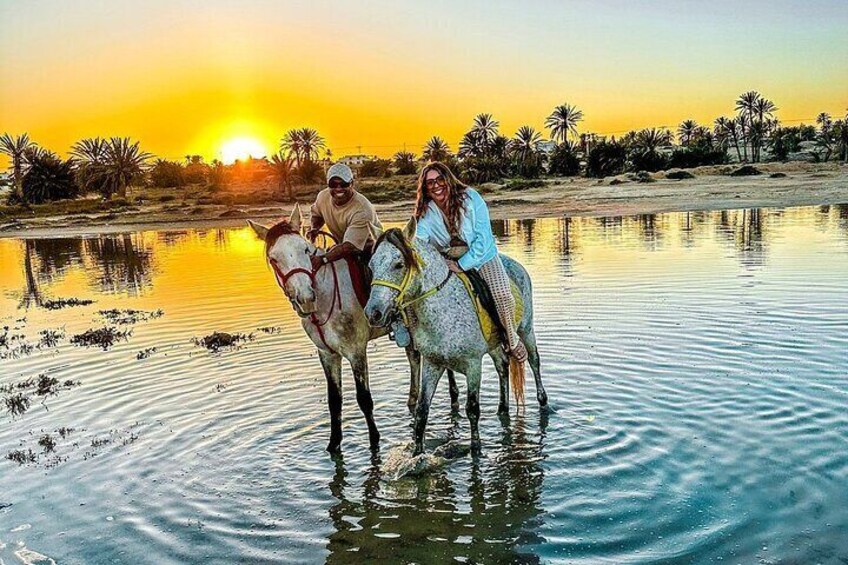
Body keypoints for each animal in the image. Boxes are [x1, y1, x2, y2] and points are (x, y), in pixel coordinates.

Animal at [247, 205, 458, 452]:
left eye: (306, 250)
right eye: (274, 259)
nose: (306, 297)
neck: (326, 294)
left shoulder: (356, 351)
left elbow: (364, 399)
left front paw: (375, 442)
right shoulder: (327, 354)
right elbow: (334, 401)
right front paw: (333, 444)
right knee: (414, 358)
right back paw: (413, 401)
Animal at [364, 218, 548, 456]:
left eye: (399, 264)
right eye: (371, 266)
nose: (373, 313)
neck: (443, 309)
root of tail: (518, 266)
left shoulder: (473, 364)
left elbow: (472, 410)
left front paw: (476, 451)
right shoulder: (432, 364)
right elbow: (422, 412)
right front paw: (417, 455)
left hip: (526, 329)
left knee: (534, 361)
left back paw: (543, 402)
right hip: (495, 345)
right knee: (502, 366)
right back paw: (502, 408)